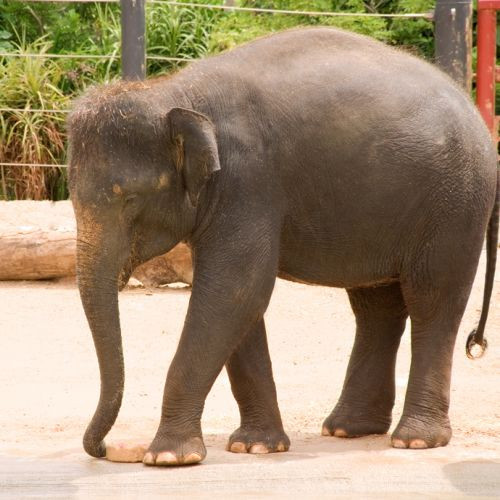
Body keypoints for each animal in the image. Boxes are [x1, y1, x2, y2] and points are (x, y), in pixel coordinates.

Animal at [67, 26, 500, 464]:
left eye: (129, 199)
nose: (104, 449)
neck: (173, 91)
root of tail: (478, 118)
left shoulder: (246, 182)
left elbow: (233, 291)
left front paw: (169, 457)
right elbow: (240, 301)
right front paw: (254, 446)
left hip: (454, 203)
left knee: (433, 298)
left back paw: (414, 440)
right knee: (376, 306)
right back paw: (347, 429)